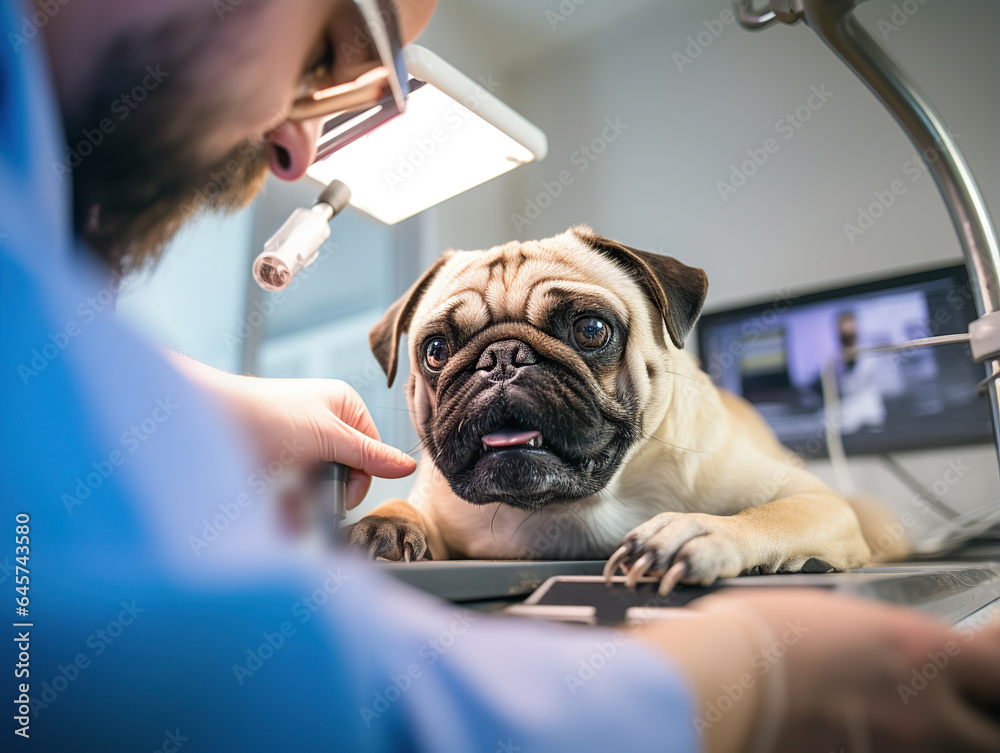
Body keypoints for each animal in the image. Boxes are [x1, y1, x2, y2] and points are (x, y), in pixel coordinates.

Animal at [352, 226, 892, 592]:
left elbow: (769, 515)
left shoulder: (816, 500)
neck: (574, 505)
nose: (502, 357)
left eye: (591, 330)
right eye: (436, 350)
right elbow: (404, 509)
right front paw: (382, 525)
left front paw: (697, 532)